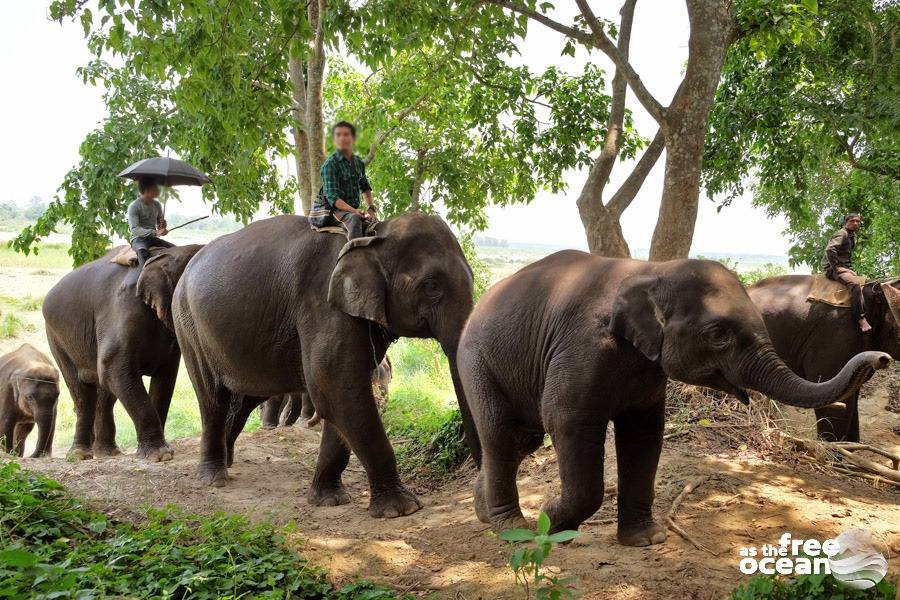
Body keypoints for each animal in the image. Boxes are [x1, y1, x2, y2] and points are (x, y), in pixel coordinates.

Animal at [43, 244, 202, 460]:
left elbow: (165, 378)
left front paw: (159, 452)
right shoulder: (124, 309)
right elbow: (112, 367)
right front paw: (160, 455)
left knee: (104, 394)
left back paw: (108, 453)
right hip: (57, 338)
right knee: (83, 392)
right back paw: (79, 455)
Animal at [171, 211, 478, 516]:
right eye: (432, 285)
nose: (478, 493)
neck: (374, 236)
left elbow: (341, 393)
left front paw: (329, 499)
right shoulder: (323, 302)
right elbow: (334, 386)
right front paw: (402, 508)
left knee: (243, 399)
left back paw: (228, 461)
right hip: (188, 326)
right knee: (213, 398)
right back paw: (214, 477)